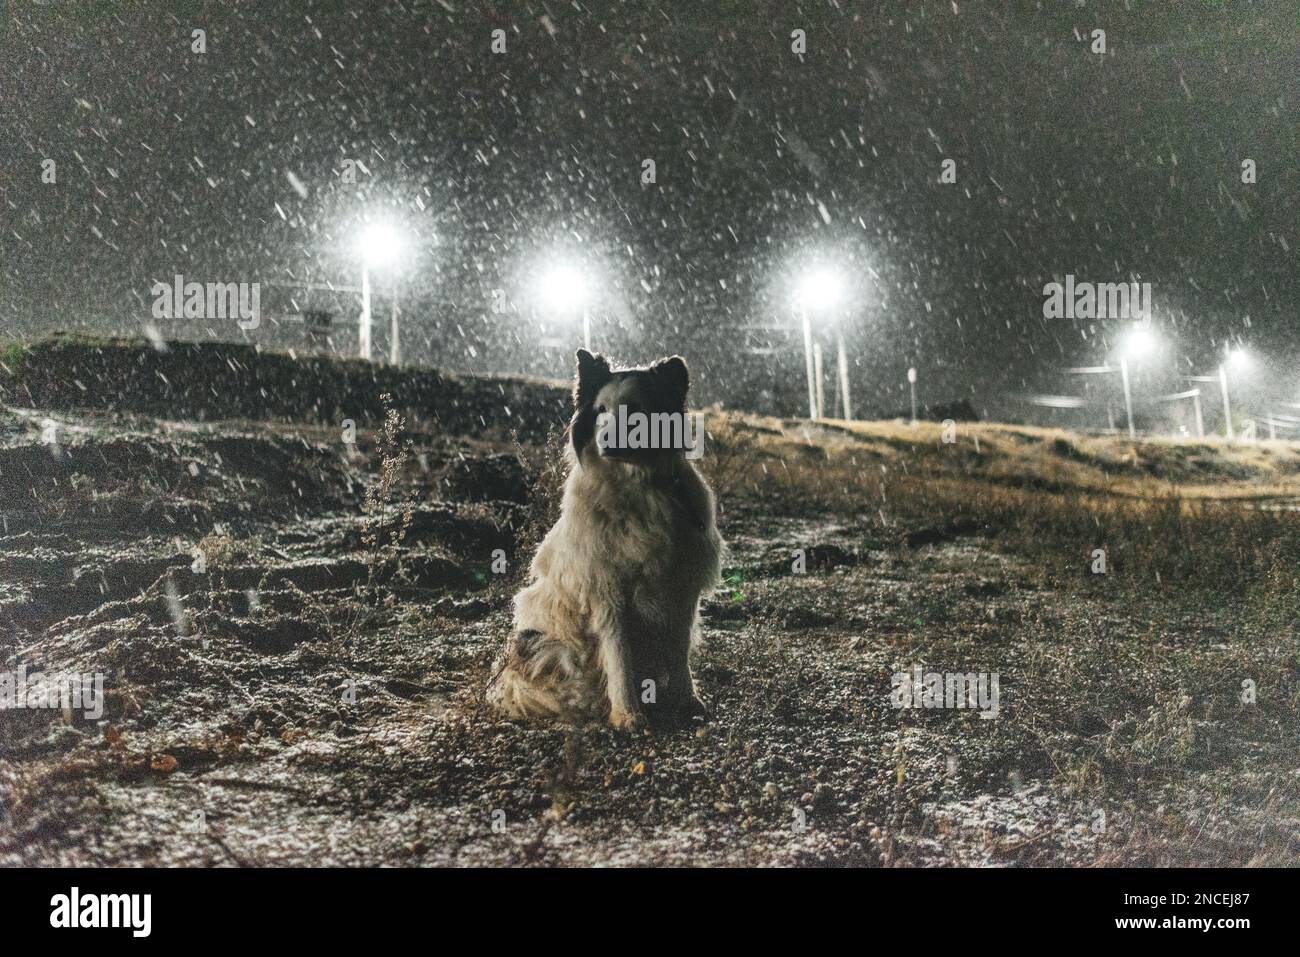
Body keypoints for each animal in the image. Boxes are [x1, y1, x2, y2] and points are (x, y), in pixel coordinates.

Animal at [486, 351, 722, 733]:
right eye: (600, 410)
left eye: (636, 408)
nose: (607, 440)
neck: (638, 485)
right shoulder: (607, 592)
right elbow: (619, 658)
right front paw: (628, 715)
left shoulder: (681, 587)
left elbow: (679, 652)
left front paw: (686, 702)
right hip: (549, 643)